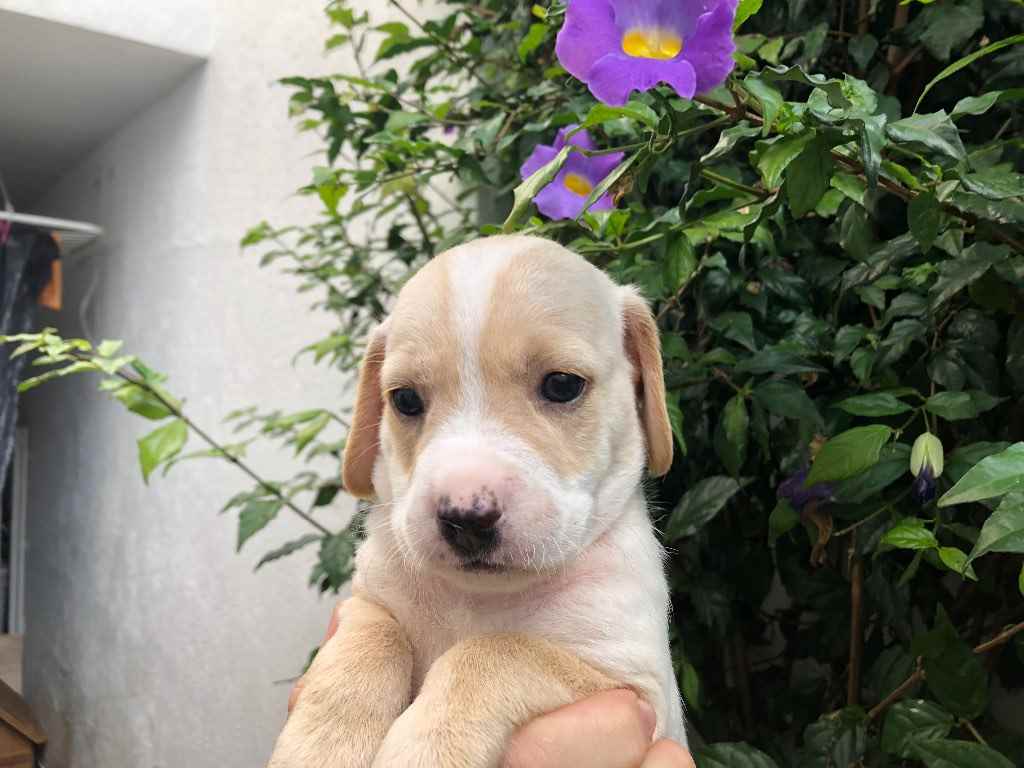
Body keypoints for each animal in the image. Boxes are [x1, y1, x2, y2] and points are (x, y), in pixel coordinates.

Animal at [268, 235, 685, 767]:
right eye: (404, 399)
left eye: (563, 385)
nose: (466, 518)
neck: (476, 598)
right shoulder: (368, 602)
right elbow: (370, 641)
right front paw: (321, 745)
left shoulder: (629, 682)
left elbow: (496, 652)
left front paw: (426, 749)